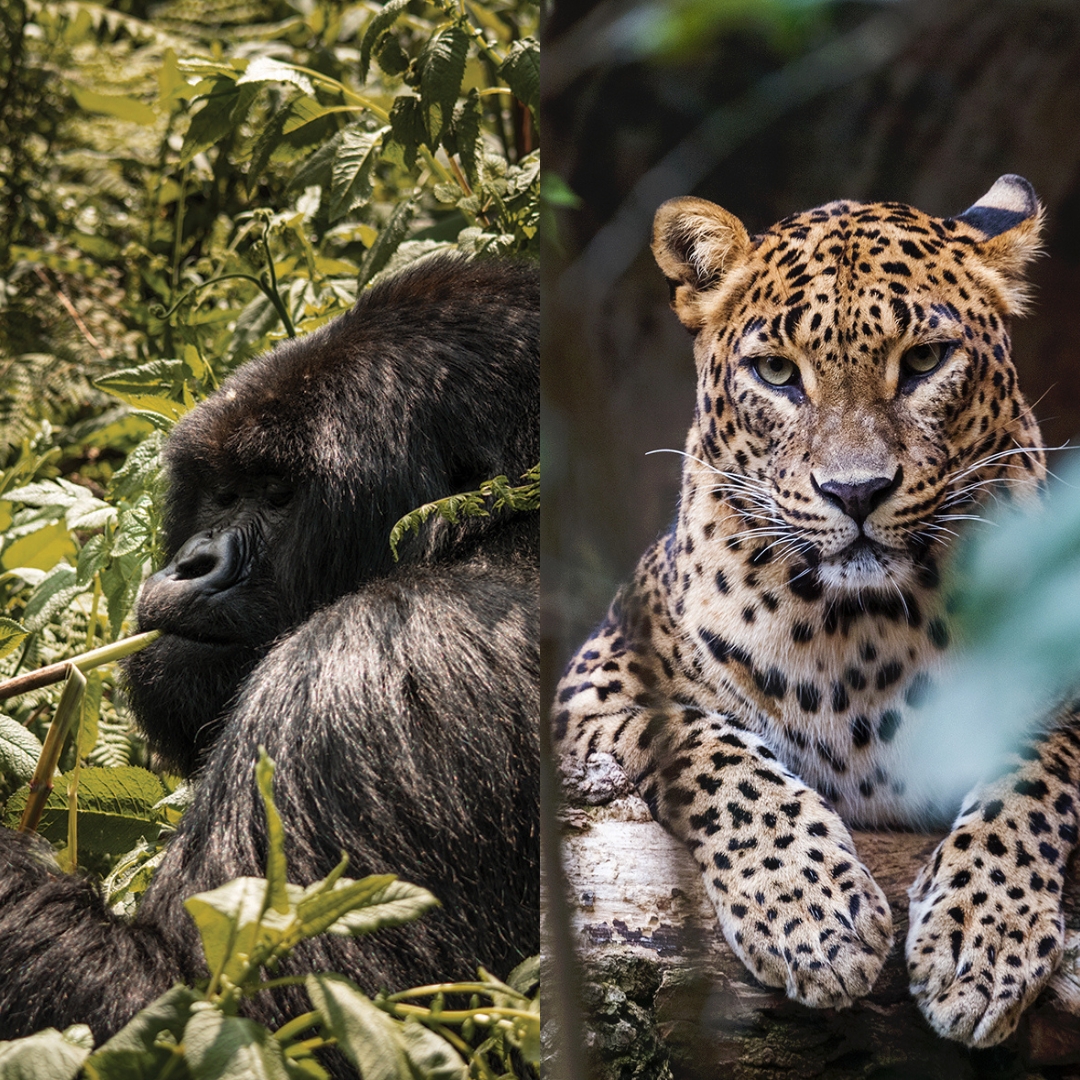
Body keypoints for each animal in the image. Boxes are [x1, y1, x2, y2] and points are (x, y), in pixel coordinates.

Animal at [553, 174, 1080, 1048]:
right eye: (776, 372)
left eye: (924, 360)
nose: (856, 491)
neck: (867, 633)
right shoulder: (592, 691)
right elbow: (710, 749)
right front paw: (814, 917)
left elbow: (1037, 771)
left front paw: (980, 941)